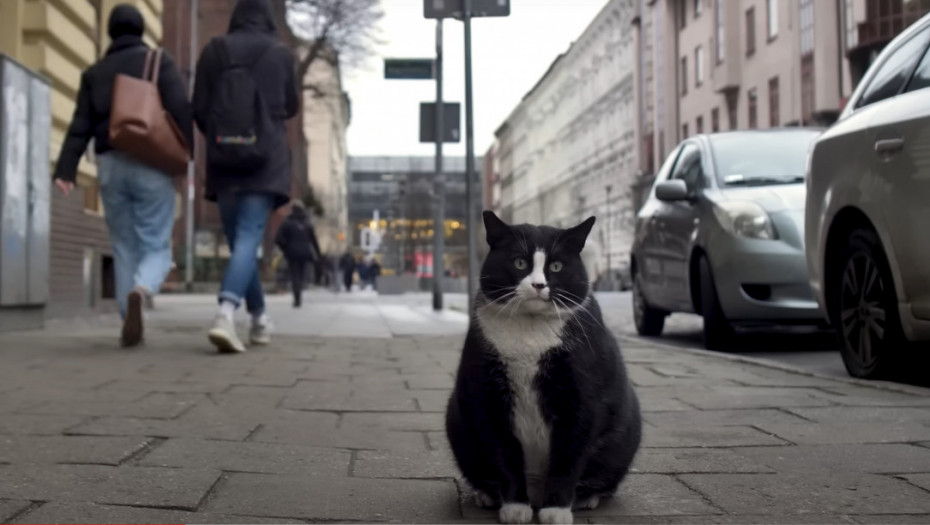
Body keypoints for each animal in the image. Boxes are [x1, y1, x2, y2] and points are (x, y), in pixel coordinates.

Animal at [442, 211, 640, 520]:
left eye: (556, 266)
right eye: (519, 263)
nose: (538, 285)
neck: (530, 331)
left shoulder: (582, 400)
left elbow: (568, 459)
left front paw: (556, 510)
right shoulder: (488, 398)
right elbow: (504, 456)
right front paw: (514, 507)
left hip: (623, 439)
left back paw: (585, 499)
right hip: (458, 423)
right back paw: (488, 496)